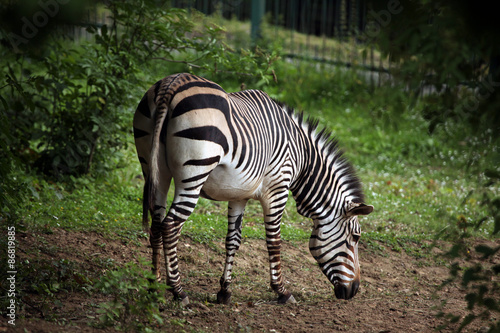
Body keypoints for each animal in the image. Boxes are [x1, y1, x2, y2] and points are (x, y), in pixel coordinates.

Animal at [133, 72, 372, 304]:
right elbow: (274, 240)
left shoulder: (238, 194)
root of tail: (172, 83)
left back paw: (153, 286)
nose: (354, 290)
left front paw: (224, 292)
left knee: (156, 225)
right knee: (170, 226)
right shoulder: (278, 189)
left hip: (154, 169)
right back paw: (178, 292)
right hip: (194, 172)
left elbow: (233, 240)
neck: (302, 157)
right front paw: (281, 291)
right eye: (355, 237)